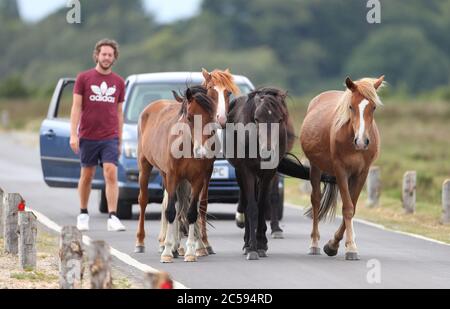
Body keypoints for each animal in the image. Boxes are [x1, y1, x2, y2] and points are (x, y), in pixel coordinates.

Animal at [135, 85, 216, 262]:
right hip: (145, 166)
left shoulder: (197, 179)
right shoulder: (172, 176)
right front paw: (166, 252)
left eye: (211, 117)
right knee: (144, 201)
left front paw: (191, 252)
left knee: (179, 206)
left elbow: (191, 213)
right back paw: (141, 243)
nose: (201, 152)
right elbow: (170, 211)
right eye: (190, 117)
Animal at [300, 75, 384, 260]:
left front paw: (334, 245)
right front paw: (350, 247)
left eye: (373, 107)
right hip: (315, 167)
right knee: (316, 200)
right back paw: (314, 244)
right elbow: (347, 208)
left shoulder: (362, 173)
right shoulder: (341, 171)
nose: (362, 141)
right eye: (351, 107)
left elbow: (352, 206)